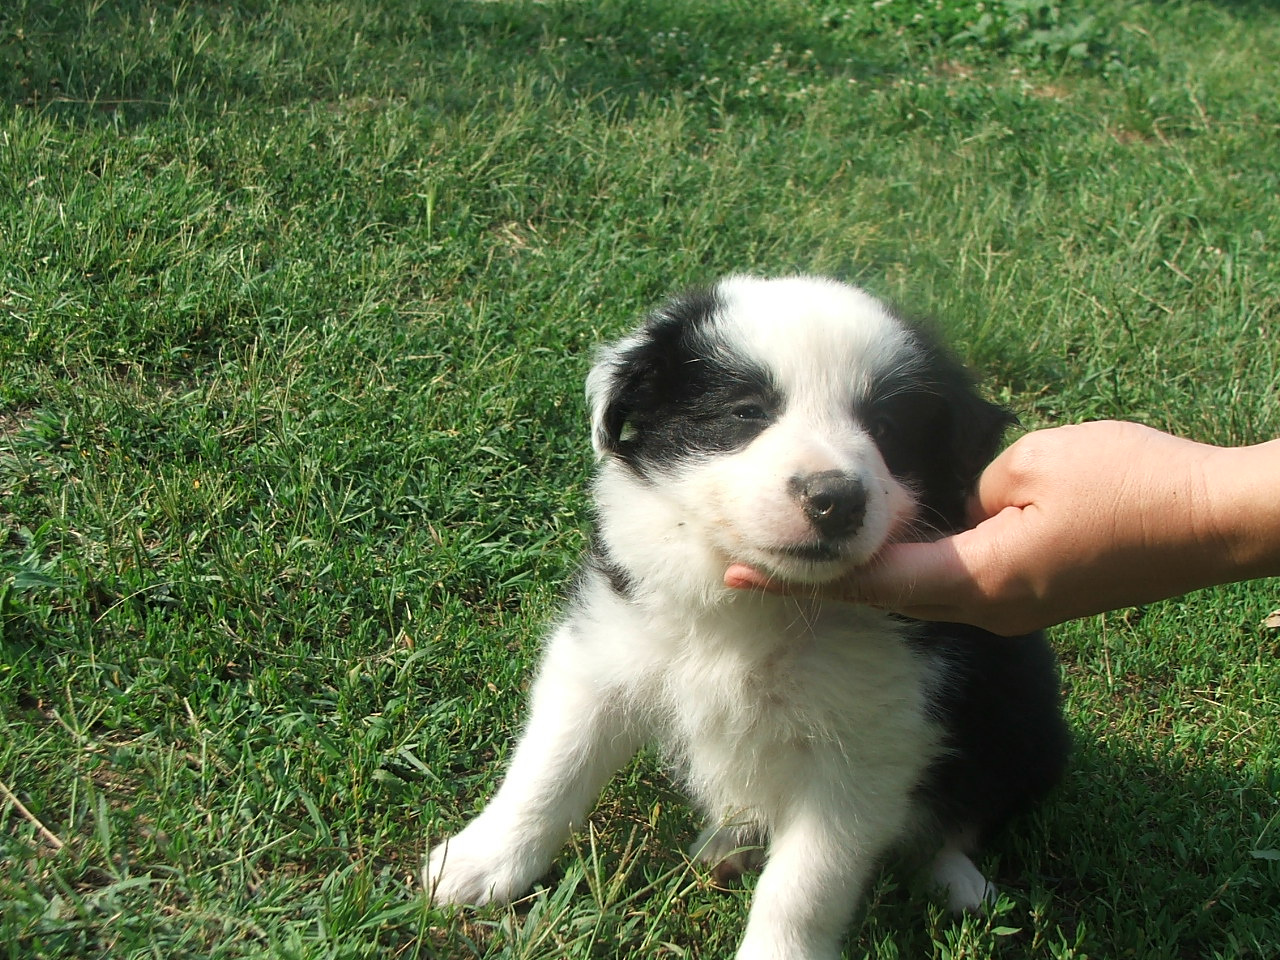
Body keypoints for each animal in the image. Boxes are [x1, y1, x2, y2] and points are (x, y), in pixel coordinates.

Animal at [422, 273, 1070, 960]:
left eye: (887, 426)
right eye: (746, 412)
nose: (835, 499)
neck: (770, 605)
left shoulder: (871, 745)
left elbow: (806, 883)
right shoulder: (605, 646)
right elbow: (549, 768)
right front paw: (479, 864)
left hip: (1025, 726)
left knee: (967, 813)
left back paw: (957, 880)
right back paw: (726, 844)